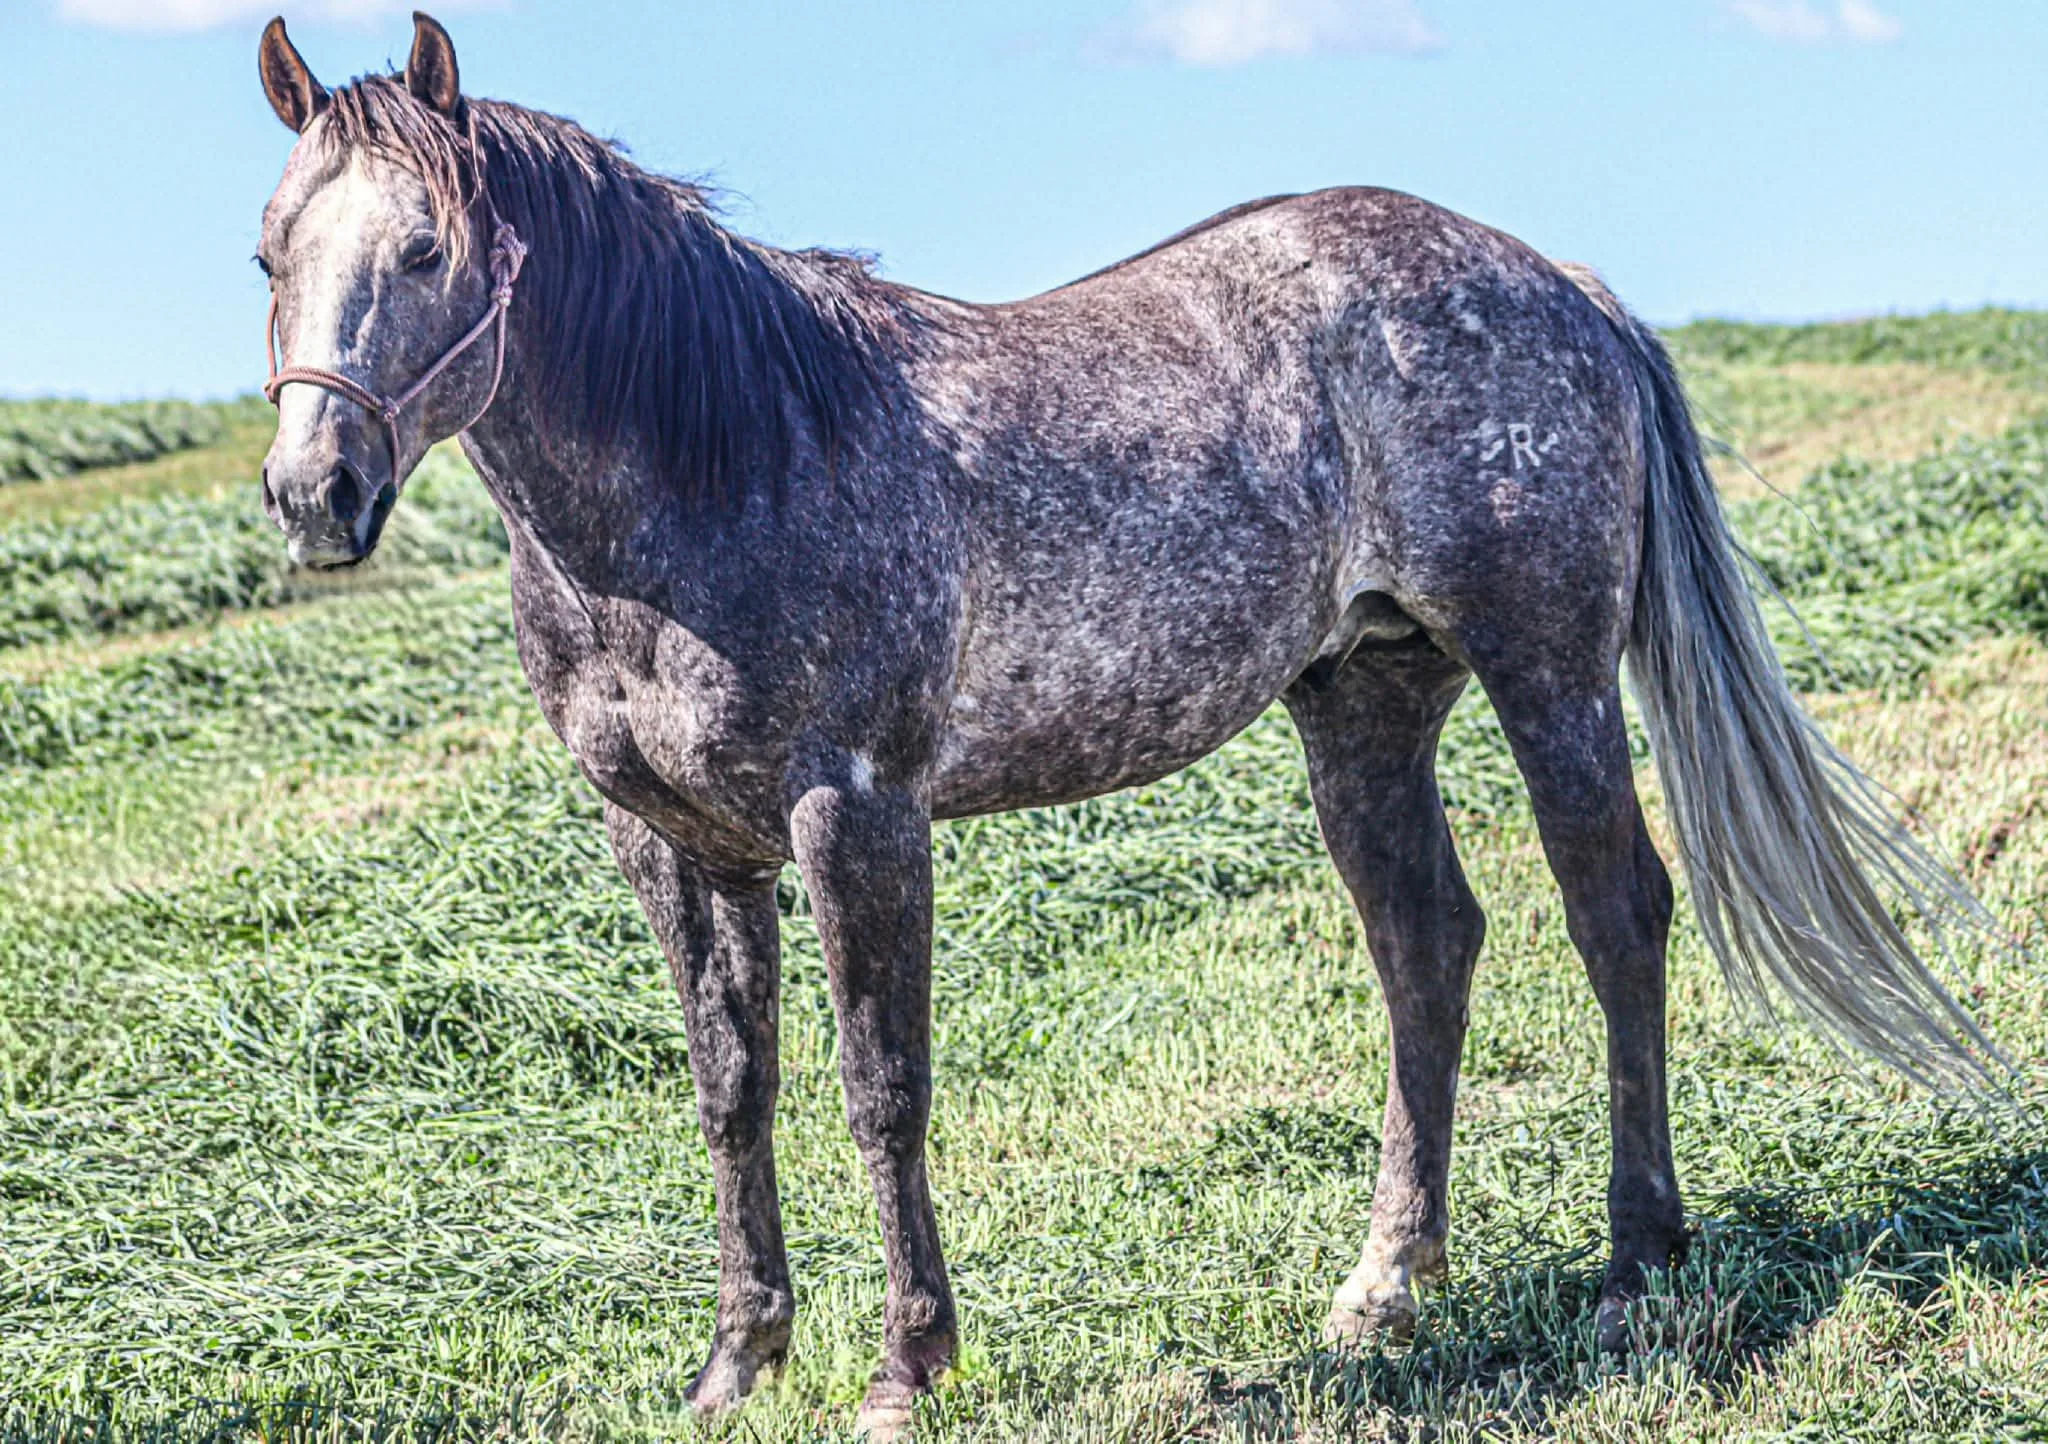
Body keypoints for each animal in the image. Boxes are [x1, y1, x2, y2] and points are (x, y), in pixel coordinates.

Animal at [252, 14, 2006, 1436]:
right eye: (271, 252)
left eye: (427, 250)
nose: (314, 494)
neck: (725, 462)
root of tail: (1556, 284)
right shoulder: (673, 843)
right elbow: (731, 1091)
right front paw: (737, 1365)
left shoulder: (854, 814)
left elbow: (882, 1084)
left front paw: (906, 1370)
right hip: (1363, 703)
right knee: (1426, 947)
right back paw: (1386, 1287)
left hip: (1548, 668)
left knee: (1615, 912)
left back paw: (1639, 1263)